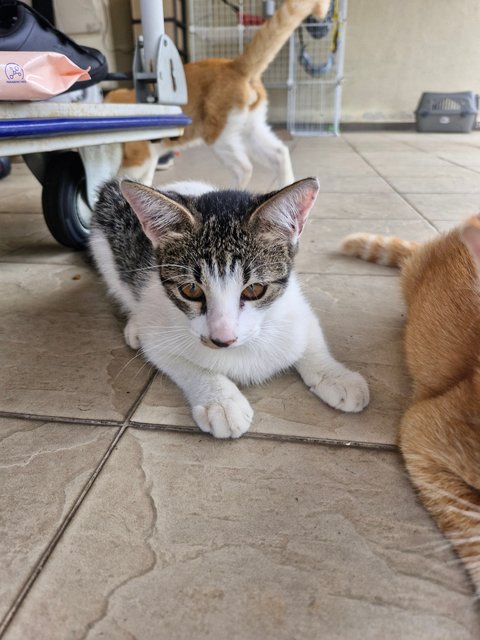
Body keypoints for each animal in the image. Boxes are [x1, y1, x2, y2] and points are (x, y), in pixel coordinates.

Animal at [90, 180, 368, 440]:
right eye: (190, 289)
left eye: (254, 289)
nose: (222, 339)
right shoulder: (158, 335)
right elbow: (182, 363)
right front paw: (221, 402)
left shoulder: (295, 307)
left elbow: (311, 338)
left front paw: (336, 376)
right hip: (104, 231)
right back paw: (134, 323)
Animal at [105, 1, 330, 188]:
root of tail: (235, 65)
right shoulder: (149, 158)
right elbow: (143, 181)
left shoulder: (138, 157)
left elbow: (119, 180)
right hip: (250, 129)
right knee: (280, 153)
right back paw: (287, 187)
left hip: (219, 135)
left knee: (244, 168)